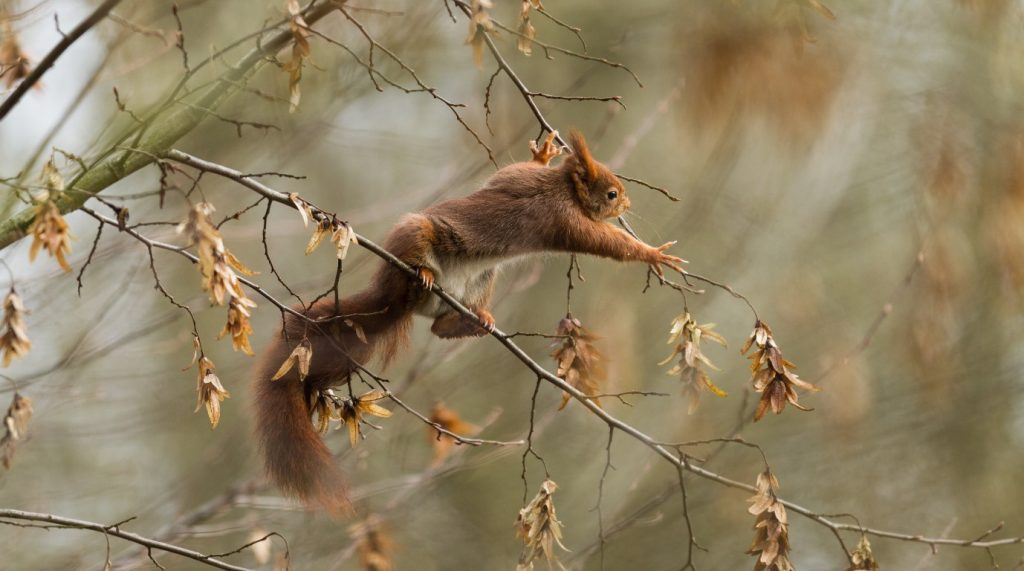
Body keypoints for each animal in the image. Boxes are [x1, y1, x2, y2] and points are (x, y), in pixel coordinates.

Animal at [253, 130, 684, 513]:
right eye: (610, 193)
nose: (626, 204)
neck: (563, 188)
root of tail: (392, 301)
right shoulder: (562, 219)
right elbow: (603, 243)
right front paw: (651, 254)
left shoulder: (517, 180)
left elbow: (511, 171)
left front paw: (543, 154)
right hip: (417, 237)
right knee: (414, 270)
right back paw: (423, 275)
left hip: (481, 281)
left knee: (437, 328)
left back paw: (475, 321)